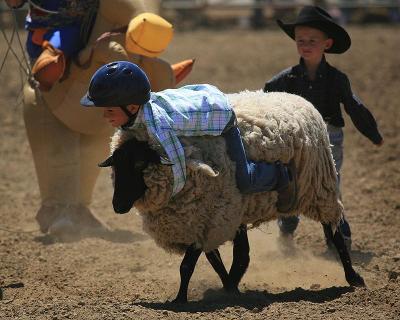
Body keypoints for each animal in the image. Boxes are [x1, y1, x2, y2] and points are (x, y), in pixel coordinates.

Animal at [100, 90, 366, 302]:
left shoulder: (207, 218)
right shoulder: (206, 222)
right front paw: (230, 289)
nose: (117, 205)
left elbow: (186, 266)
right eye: (116, 166)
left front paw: (180, 300)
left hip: (319, 188)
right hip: (244, 207)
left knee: (334, 231)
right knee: (243, 253)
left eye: (139, 165)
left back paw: (353, 277)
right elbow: (215, 261)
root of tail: (299, 98)